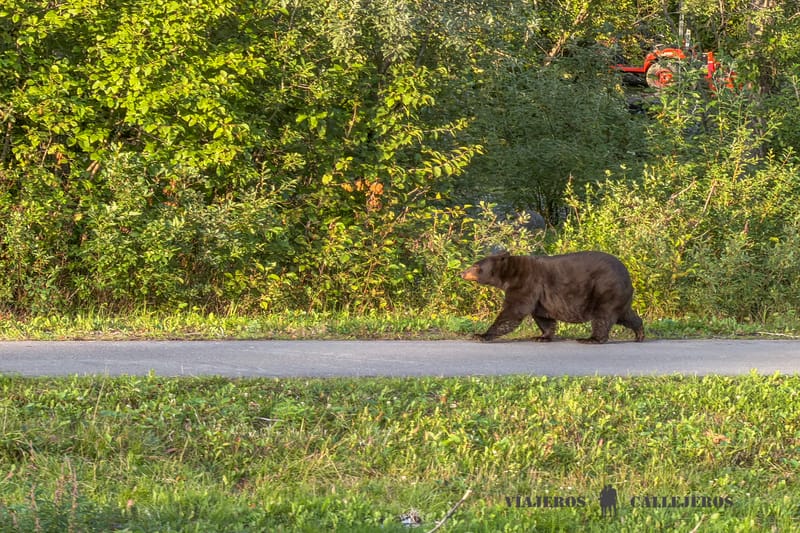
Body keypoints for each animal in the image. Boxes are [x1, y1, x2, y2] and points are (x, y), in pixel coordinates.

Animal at [461, 251, 644, 343]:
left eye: (475, 266)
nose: (462, 273)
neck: (510, 274)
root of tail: (628, 277)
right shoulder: (540, 295)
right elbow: (543, 316)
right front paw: (541, 336)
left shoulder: (526, 283)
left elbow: (513, 311)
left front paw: (481, 335)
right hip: (619, 297)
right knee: (626, 315)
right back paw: (639, 333)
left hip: (605, 289)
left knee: (603, 316)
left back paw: (591, 339)